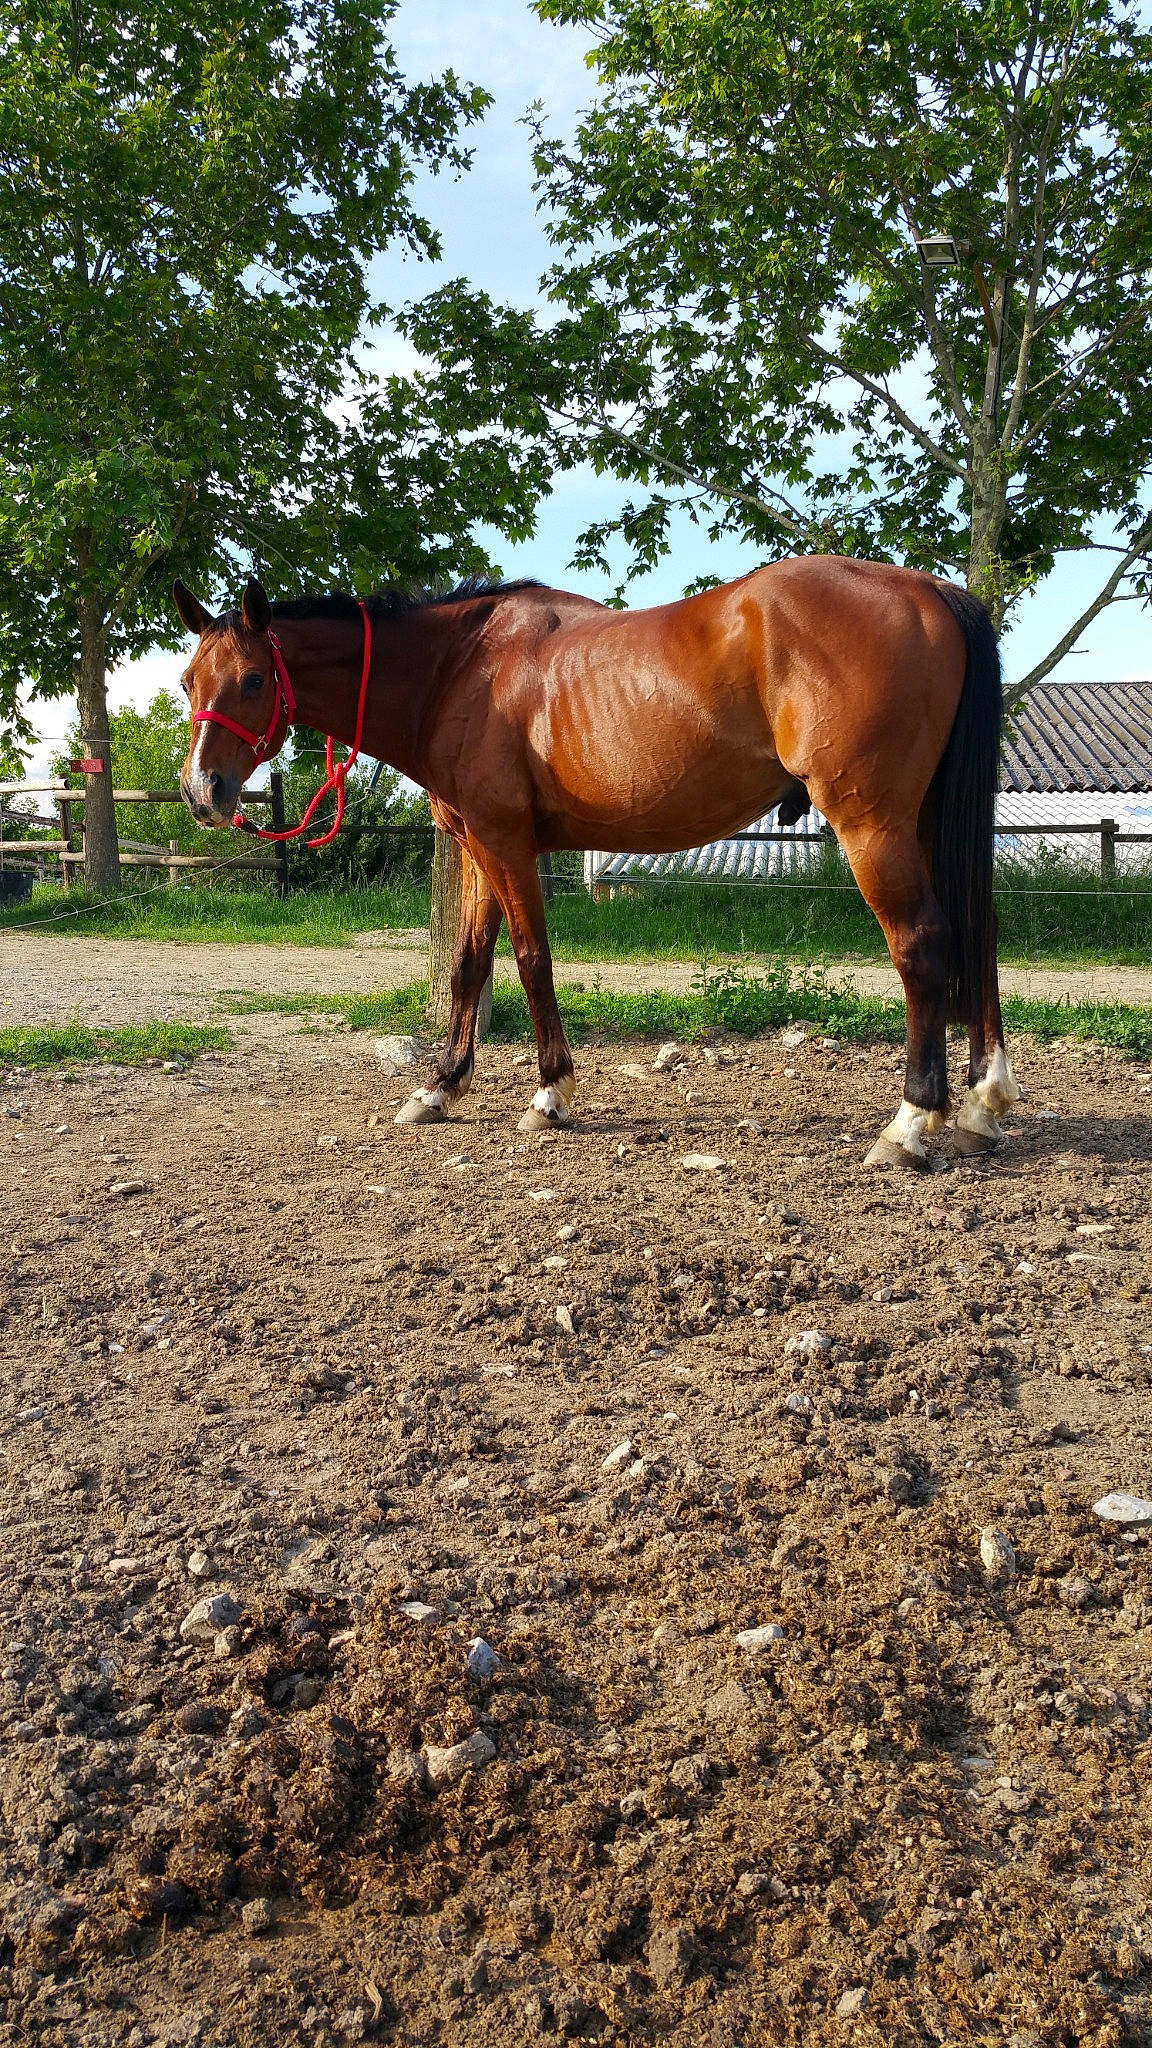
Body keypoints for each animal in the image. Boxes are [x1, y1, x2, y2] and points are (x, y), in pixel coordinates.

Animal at [173, 557, 1020, 1169]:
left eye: (253, 679)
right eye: (187, 681)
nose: (202, 792)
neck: (461, 669)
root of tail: (934, 590)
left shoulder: (506, 843)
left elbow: (531, 959)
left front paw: (551, 1094)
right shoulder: (478, 845)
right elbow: (469, 964)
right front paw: (439, 1087)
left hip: (872, 824)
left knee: (923, 945)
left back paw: (910, 1124)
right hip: (927, 821)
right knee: (979, 930)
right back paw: (983, 1104)